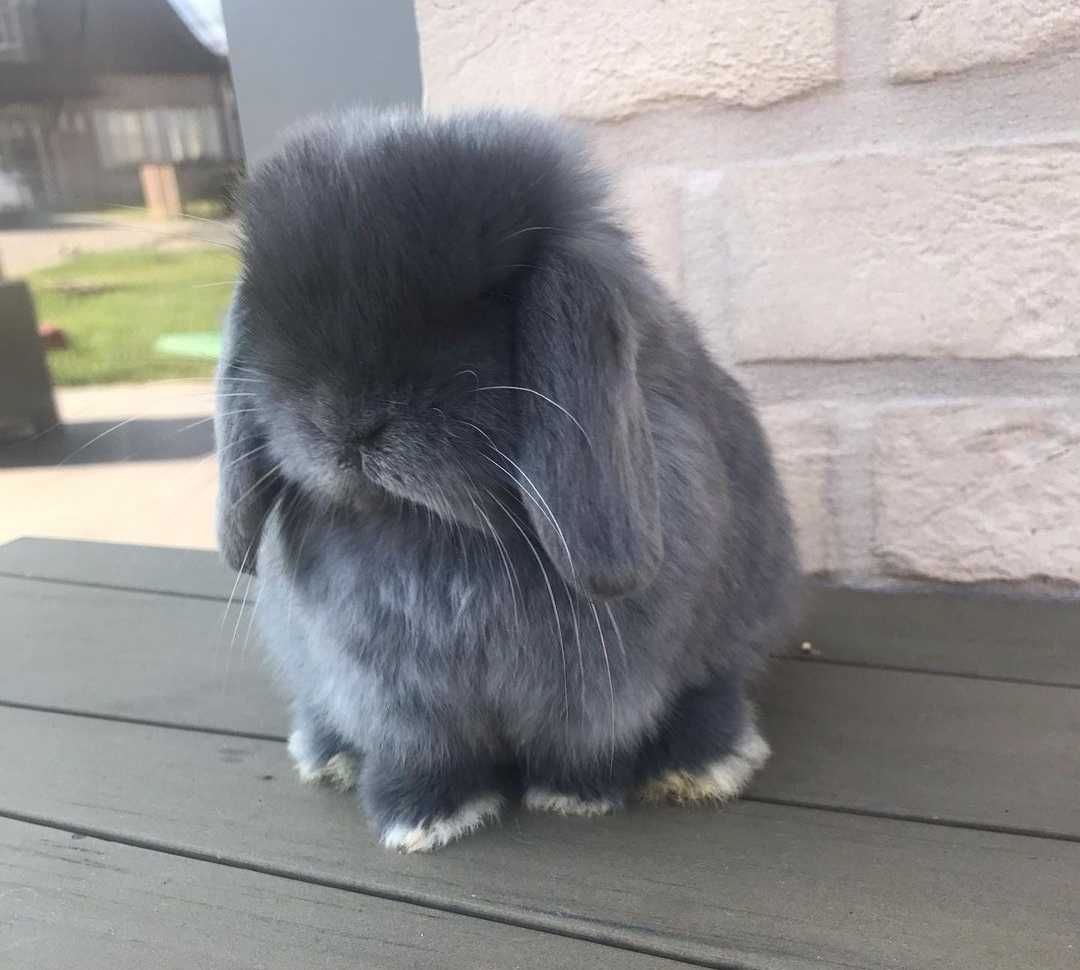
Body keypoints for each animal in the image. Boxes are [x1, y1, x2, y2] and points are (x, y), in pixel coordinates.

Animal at [214, 111, 799, 846]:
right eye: (274, 310)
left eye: (482, 305)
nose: (346, 423)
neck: (435, 528)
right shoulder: (391, 694)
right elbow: (422, 753)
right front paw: (423, 818)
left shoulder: (603, 685)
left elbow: (584, 745)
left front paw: (576, 795)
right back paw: (326, 755)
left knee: (712, 692)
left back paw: (699, 766)